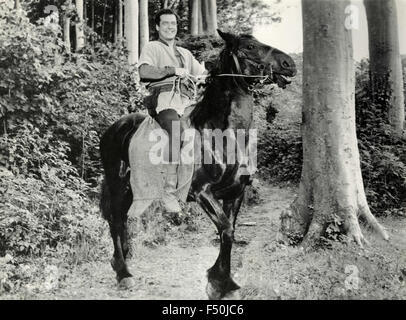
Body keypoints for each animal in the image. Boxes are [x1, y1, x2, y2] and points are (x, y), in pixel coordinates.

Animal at [98, 30, 294, 300]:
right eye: (249, 47)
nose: (289, 63)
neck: (220, 134)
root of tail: (115, 127)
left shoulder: (235, 192)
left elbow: (229, 231)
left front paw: (225, 282)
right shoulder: (202, 192)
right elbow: (226, 230)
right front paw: (217, 283)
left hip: (132, 189)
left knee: (123, 219)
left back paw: (123, 261)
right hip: (118, 185)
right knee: (116, 220)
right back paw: (123, 273)